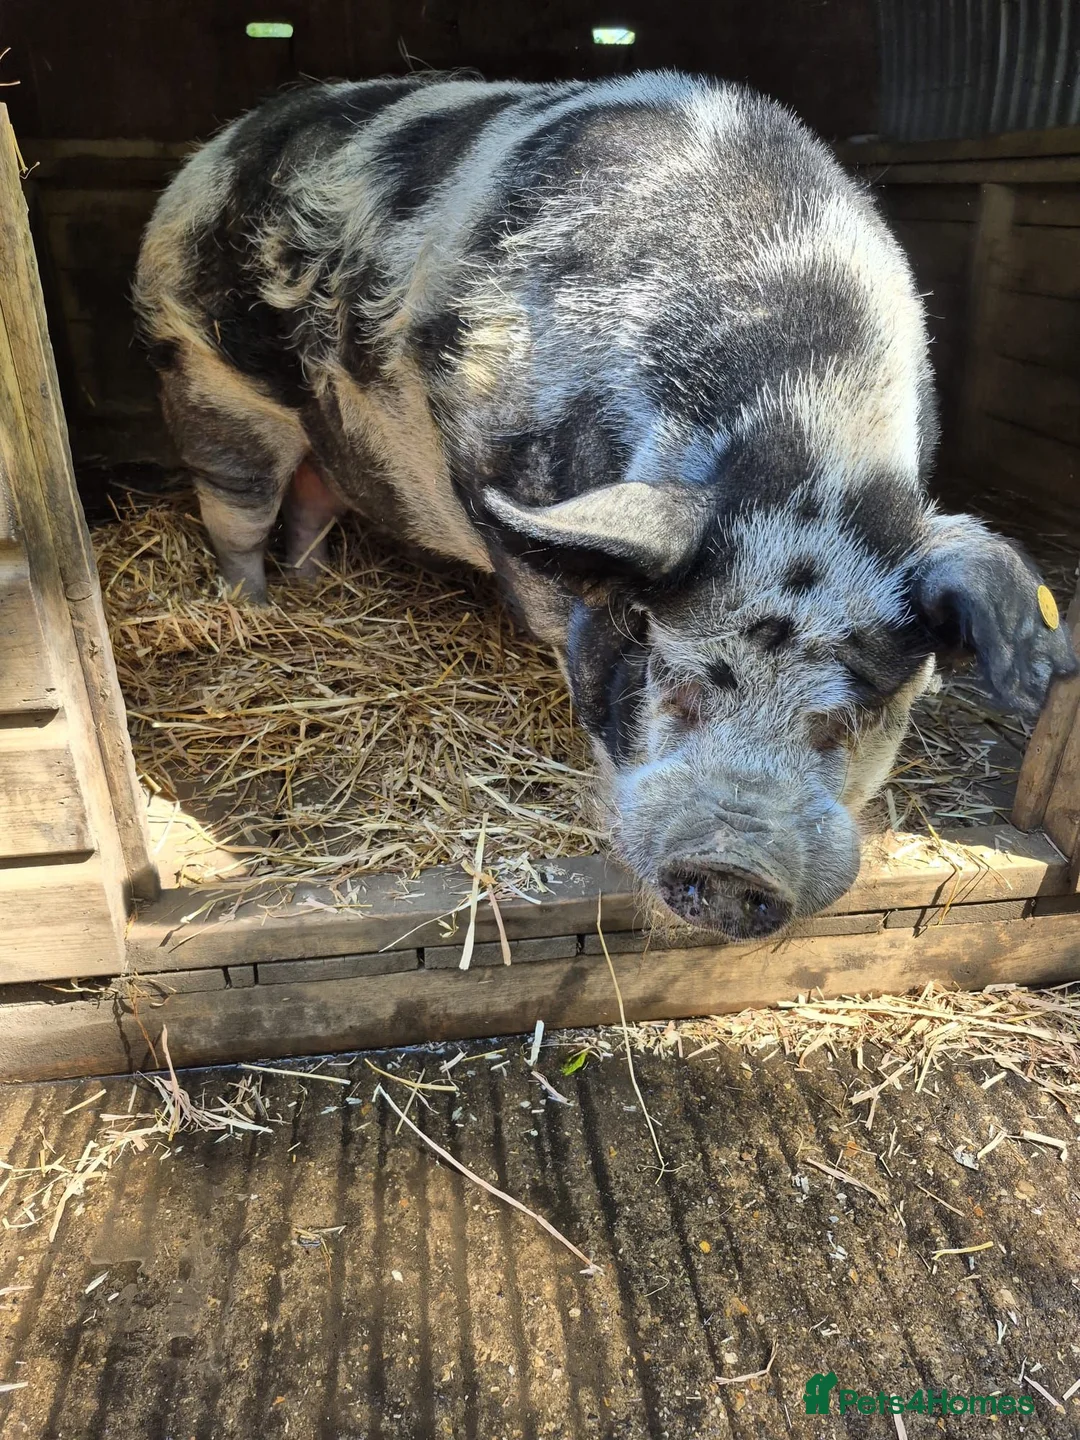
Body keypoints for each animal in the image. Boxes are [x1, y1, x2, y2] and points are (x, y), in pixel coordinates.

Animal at [134, 73, 1077, 938]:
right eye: (676, 683)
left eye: (847, 717)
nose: (731, 866)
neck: (804, 434)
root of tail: (220, 146)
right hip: (205, 381)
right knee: (238, 513)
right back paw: (251, 612)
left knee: (311, 508)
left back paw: (313, 587)